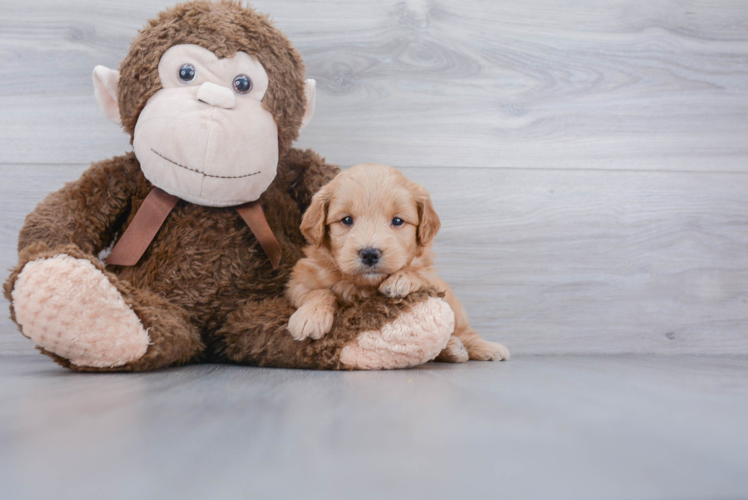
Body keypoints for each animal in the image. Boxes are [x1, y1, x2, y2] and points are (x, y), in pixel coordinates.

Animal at [284, 164, 508, 364]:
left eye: (398, 221)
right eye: (346, 220)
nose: (370, 254)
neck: (364, 286)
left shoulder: (430, 276)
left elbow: (419, 272)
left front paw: (402, 279)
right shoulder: (300, 280)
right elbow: (319, 291)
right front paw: (310, 317)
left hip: (455, 306)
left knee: (465, 331)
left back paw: (483, 347)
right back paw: (452, 348)